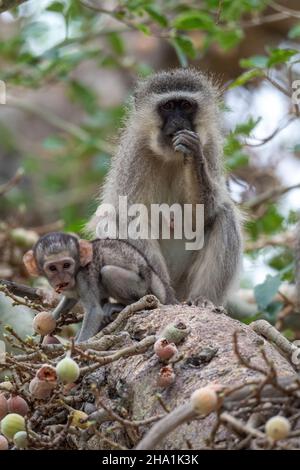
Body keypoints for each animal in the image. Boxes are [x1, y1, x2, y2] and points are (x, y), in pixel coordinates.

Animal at [24, 231, 178, 342]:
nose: (62, 277)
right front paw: (51, 321)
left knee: (107, 272)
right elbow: (70, 299)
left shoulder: (82, 277)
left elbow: (94, 311)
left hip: (144, 287)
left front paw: (77, 349)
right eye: (53, 268)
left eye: (66, 265)